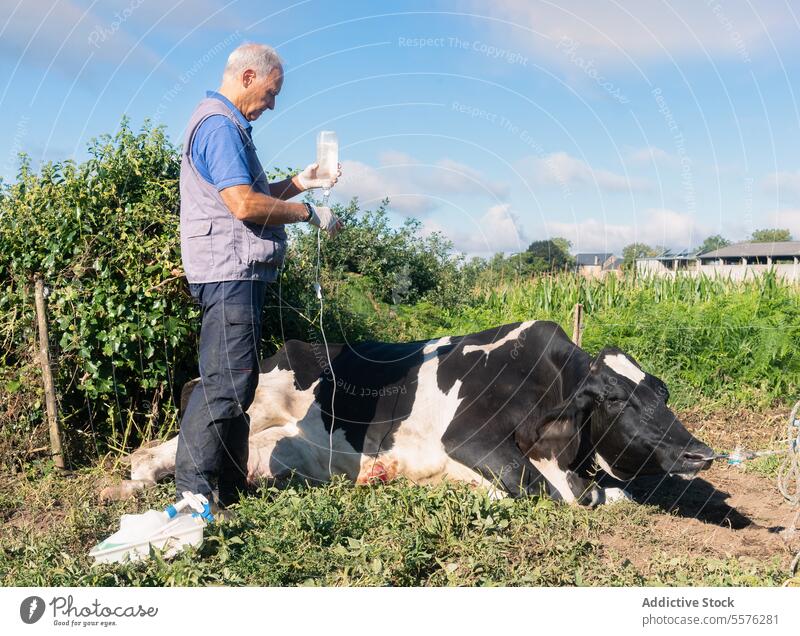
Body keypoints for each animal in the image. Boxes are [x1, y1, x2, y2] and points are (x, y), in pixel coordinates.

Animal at [103, 322, 716, 506]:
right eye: (616, 398)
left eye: (663, 394)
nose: (701, 453)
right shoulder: (468, 436)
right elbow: (538, 489)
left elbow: (600, 493)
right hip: (254, 396)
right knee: (167, 446)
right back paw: (127, 483)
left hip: (275, 450)